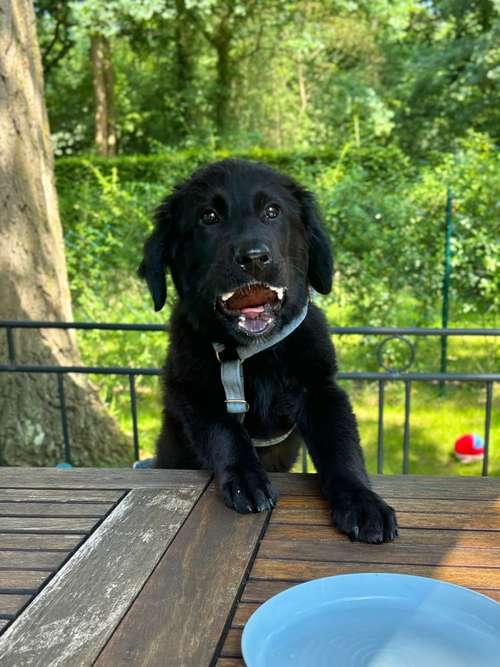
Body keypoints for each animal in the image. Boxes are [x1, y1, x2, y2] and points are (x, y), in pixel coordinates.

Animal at [139, 160, 396, 544]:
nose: (254, 258)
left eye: (272, 212)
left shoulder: (321, 389)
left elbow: (342, 447)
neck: (253, 353)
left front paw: (363, 502)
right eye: (208, 217)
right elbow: (225, 431)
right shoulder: (189, 391)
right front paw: (246, 479)